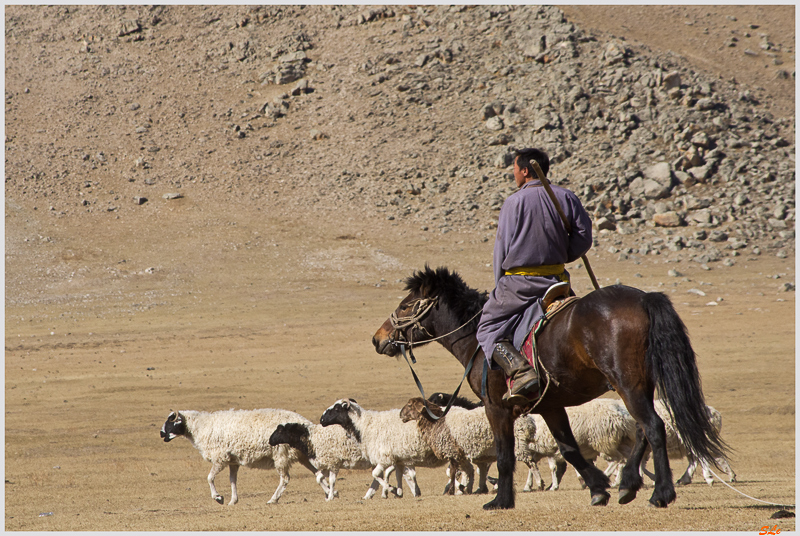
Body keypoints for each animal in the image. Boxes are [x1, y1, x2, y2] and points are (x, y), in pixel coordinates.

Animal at [161, 408, 330, 504]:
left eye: (170, 422)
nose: (161, 434)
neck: (200, 427)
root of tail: (306, 424)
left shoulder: (220, 458)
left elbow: (209, 478)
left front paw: (218, 498)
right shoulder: (232, 461)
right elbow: (232, 480)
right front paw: (233, 500)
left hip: (281, 454)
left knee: (285, 479)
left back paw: (273, 499)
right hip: (302, 455)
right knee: (317, 472)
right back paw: (330, 492)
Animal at [318, 398, 446, 498]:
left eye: (336, 409)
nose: (321, 420)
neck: (364, 426)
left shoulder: (385, 457)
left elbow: (375, 474)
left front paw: (392, 489)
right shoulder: (396, 458)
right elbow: (398, 474)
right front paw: (398, 491)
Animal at [372, 266, 728, 508]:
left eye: (406, 305)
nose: (378, 339)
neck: (475, 339)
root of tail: (643, 299)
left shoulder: (496, 407)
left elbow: (504, 455)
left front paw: (501, 501)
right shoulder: (550, 405)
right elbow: (568, 448)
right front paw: (598, 488)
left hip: (626, 383)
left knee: (653, 426)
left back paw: (661, 493)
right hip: (639, 385)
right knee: (643, 428)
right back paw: (628, 483)